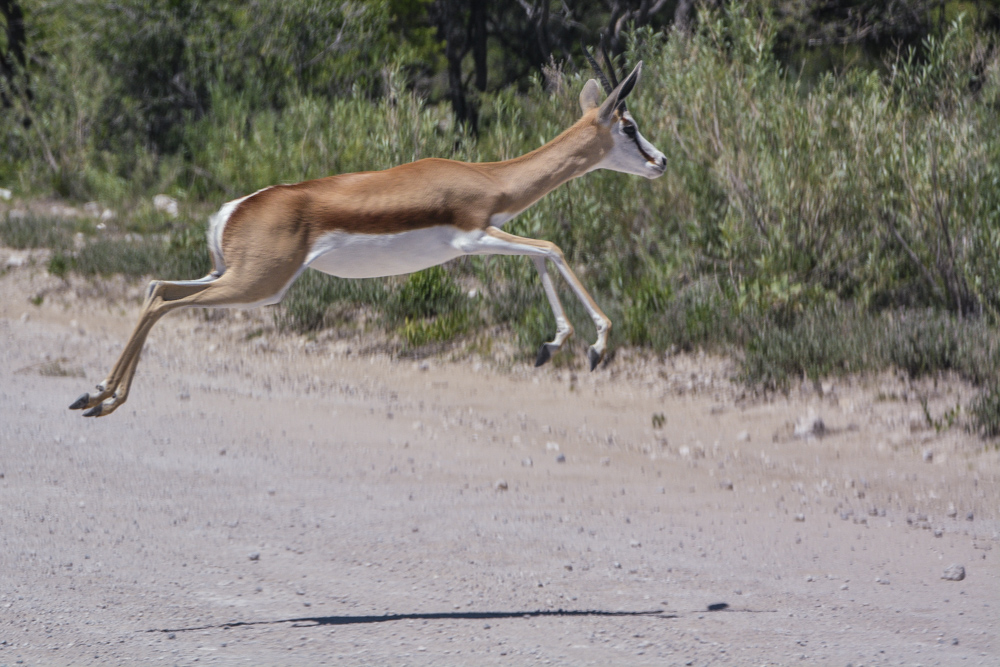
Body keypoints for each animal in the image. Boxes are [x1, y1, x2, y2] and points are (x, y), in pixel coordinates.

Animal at [70, 54, 664, 414]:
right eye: (630, 126)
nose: (660, 161)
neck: (489, 178)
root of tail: (235, 209)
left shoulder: (488, 235)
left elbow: (540, 255)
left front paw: (551, 346)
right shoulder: (474, 237)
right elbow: (552, 247)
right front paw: (595, 345)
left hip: (230, 276)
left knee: (157, 289)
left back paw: (97, 397)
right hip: (257, 285)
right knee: (163, 301)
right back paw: (101, 398)